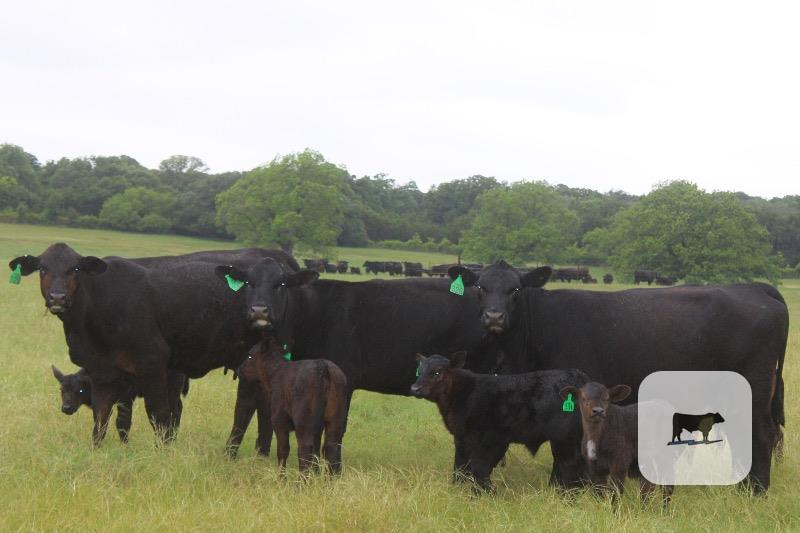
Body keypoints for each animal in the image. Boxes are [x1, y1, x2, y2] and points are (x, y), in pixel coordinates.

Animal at [51, 365, 188, 444]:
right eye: (61, 390)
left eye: (80, 390)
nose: (66, 408)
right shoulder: (101, 404)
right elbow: (100, 421)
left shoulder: (125, 398)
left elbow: (122, 422)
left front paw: (124, 444)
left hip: (172, 388)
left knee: (173, 411)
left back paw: (171, 437)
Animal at [237, 336, 348, 473]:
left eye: (250, 356)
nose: (239, 370)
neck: (274, 373)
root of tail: (323, 366)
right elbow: (316, 453)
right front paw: (315, 474)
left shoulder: (279, 422)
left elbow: (283, 450)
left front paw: (281, 476)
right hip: (335, 419)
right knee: (332, 448)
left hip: (304, 420)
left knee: (305, 448)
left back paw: (303, 478)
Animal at [410, 352, 588, 492]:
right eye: (420, 371)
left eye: (437, 372)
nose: (414, 389)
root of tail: (579, 377)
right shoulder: (461, 438)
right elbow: (460, 466)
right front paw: (457, 488)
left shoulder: (484, 440)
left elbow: (479, 467)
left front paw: (482, 494)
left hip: (563, 437)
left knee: (568, 463)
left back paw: (565, 494)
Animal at [446, 260, 788, 492]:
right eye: (481, 288)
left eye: (515, 289)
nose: (494, 317)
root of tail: (754, 287)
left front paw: (573, 487)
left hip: (753, 389)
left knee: (763, 435)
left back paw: (756, 491)